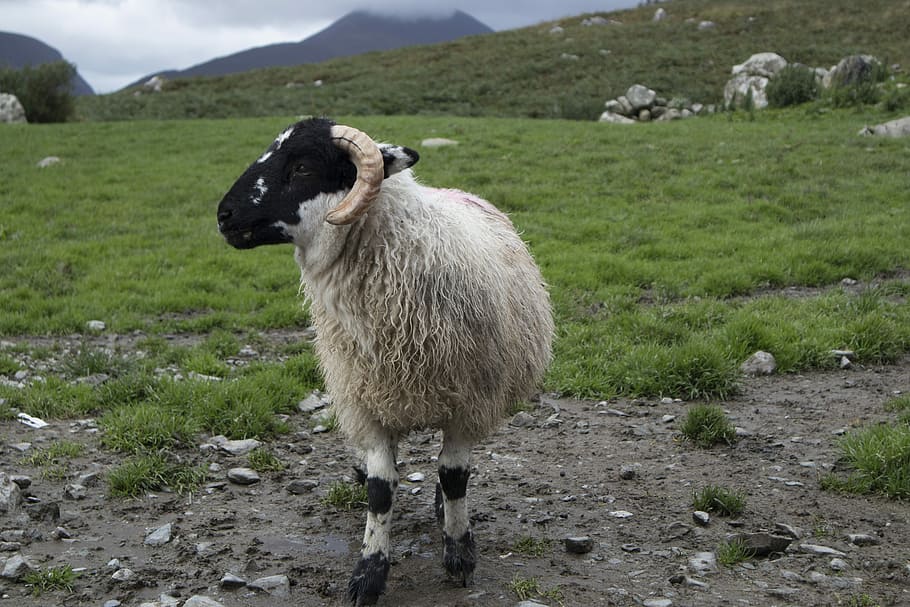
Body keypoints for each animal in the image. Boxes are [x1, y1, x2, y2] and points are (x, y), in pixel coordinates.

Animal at [217, 116, 552, 604]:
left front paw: (459, 553)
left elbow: (454, 476)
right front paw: (369, 572)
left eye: (302, 168)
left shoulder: (469, 402)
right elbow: (380, 490)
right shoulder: (365, 398)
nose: (223, 216)